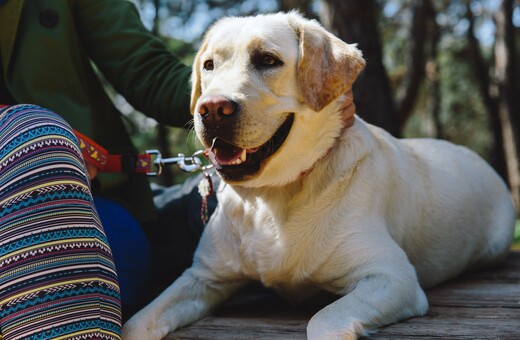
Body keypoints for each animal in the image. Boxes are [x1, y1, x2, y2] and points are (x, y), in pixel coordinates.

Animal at [125, 11, 516, 340]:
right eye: (208, 65)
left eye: (268, 60)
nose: (212, 109)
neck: (271, 196)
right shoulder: (202, 277)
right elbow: (135, 323)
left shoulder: (392, 276)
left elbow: (323, 319)